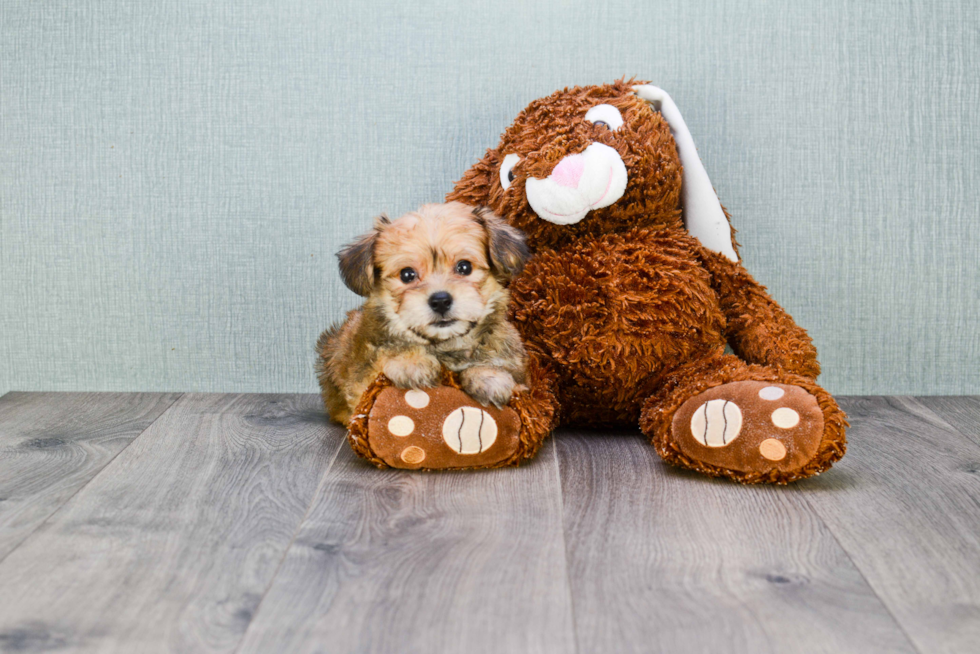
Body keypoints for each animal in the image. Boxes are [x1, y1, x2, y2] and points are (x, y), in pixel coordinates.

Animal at [316, 201, 528, 426]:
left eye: (464, 267)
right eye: (407, 274)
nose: (441, 300)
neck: (445, 345)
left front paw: (489, 376)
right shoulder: (362, 371)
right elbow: (383, 355)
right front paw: (410, 362)